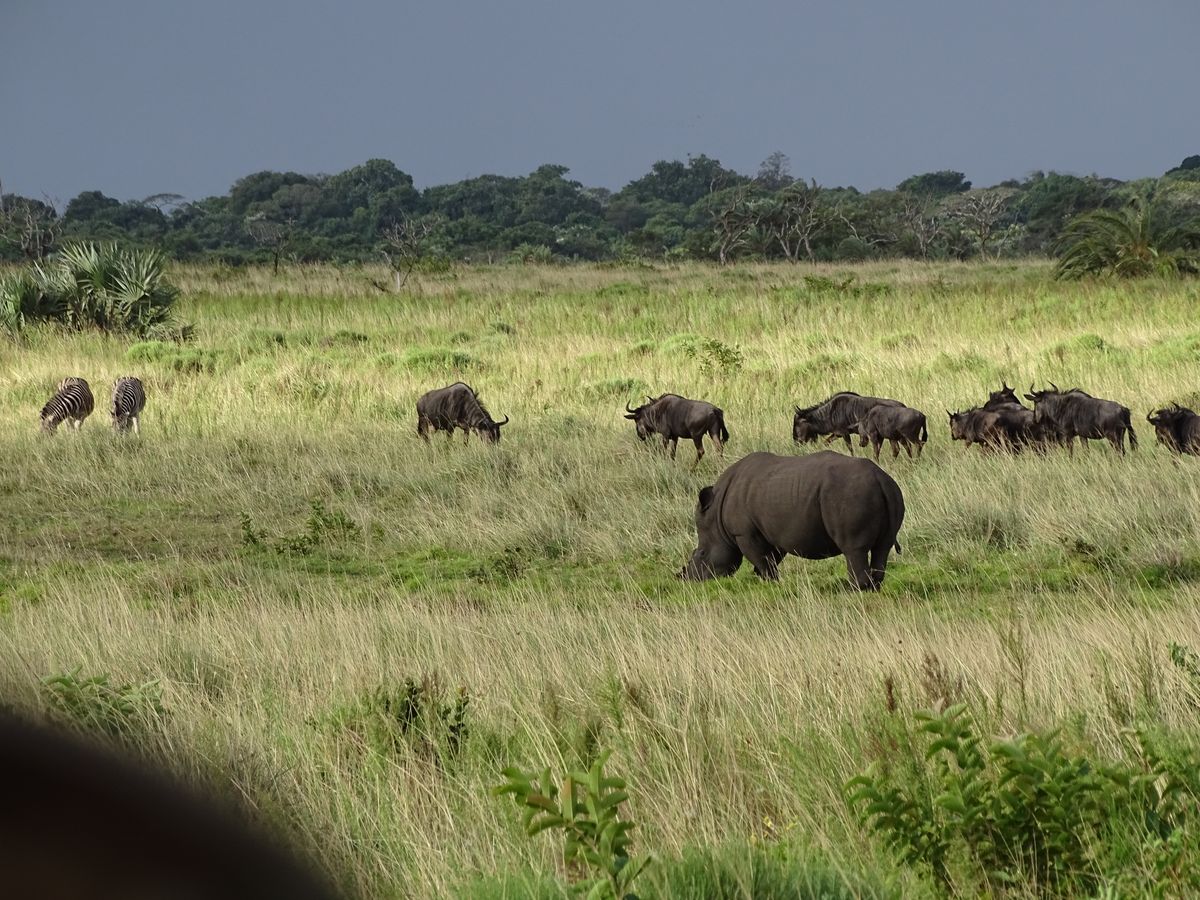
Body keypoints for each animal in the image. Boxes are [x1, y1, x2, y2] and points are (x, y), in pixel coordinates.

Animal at [678, 451, 904, 590]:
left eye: (701, 553)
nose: (688, 580)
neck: (716, 515)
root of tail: (880, 478)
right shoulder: (772, 530)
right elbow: (770, 558)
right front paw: (765, 580)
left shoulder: (743, 533)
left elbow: (761, 559)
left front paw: (769, 583)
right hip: (892, 493)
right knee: (882, 547)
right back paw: (873, 588)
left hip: (850, 495)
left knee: (853, 549)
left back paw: (852, 590)